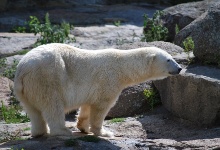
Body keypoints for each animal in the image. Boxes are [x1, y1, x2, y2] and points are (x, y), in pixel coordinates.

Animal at [14, 42, 182, 137]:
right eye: (169, 59)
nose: (180, 68)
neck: (123, 67)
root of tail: (22, 69)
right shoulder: (108, 80)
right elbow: (101, 107)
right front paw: (104, 132)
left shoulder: (91, 89)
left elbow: (87, 106)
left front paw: (83, 127)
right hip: (47, 78)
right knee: (52, 105)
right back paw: (62, 131)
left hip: (26, 89)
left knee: (33, 111)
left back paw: (39, 132)